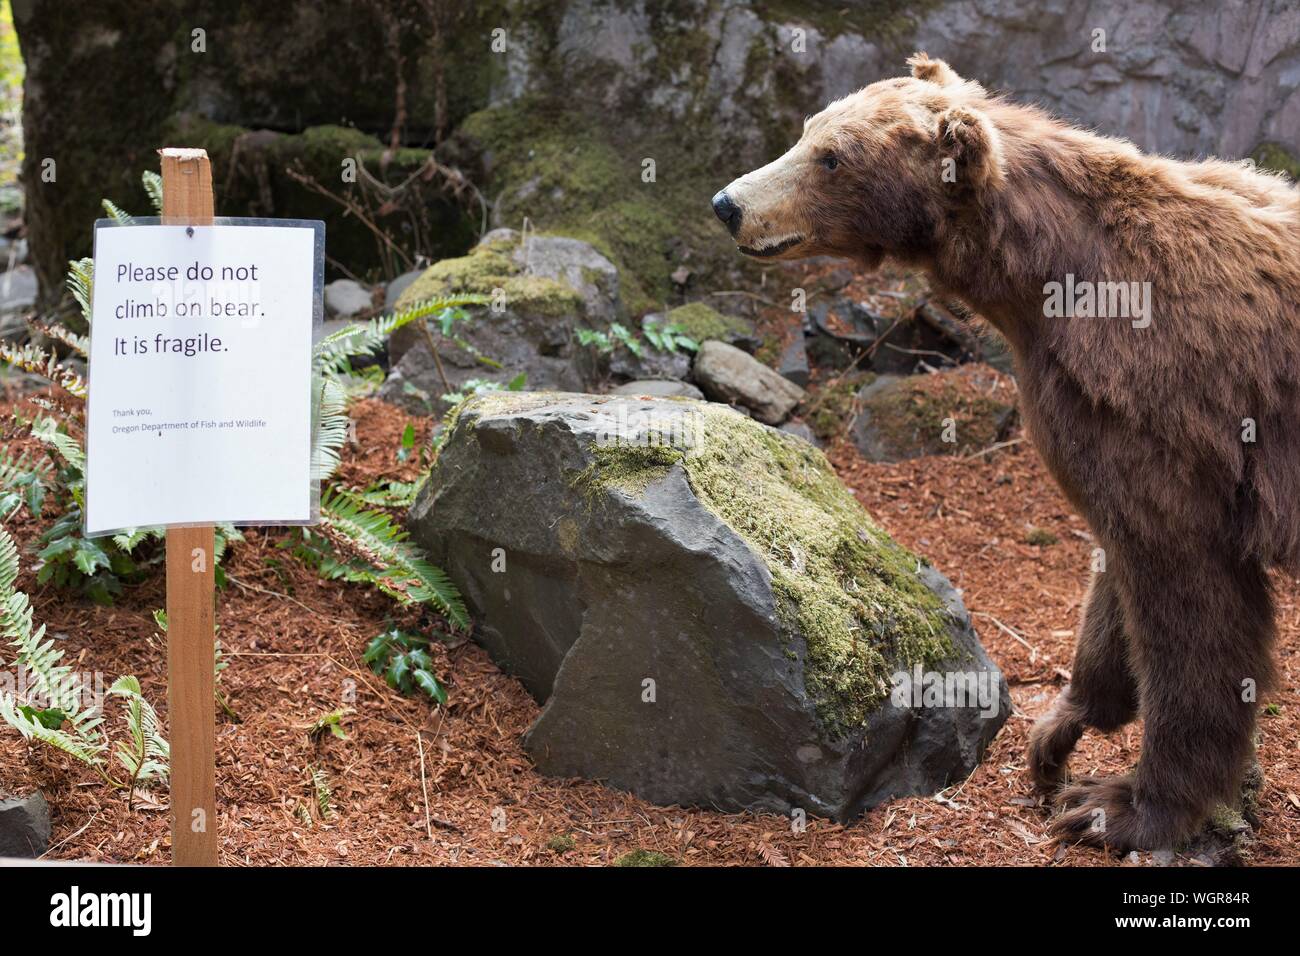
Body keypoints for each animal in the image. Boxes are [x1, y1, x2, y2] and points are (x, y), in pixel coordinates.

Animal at [717, 52, 1300, 853]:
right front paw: (1059, 734)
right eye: (809, 129)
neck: (1045, 287)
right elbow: (1113, 574)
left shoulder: (1166, 412)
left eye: (832, 157)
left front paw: (1121, 803)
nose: (728, 203)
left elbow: (1188, 599)